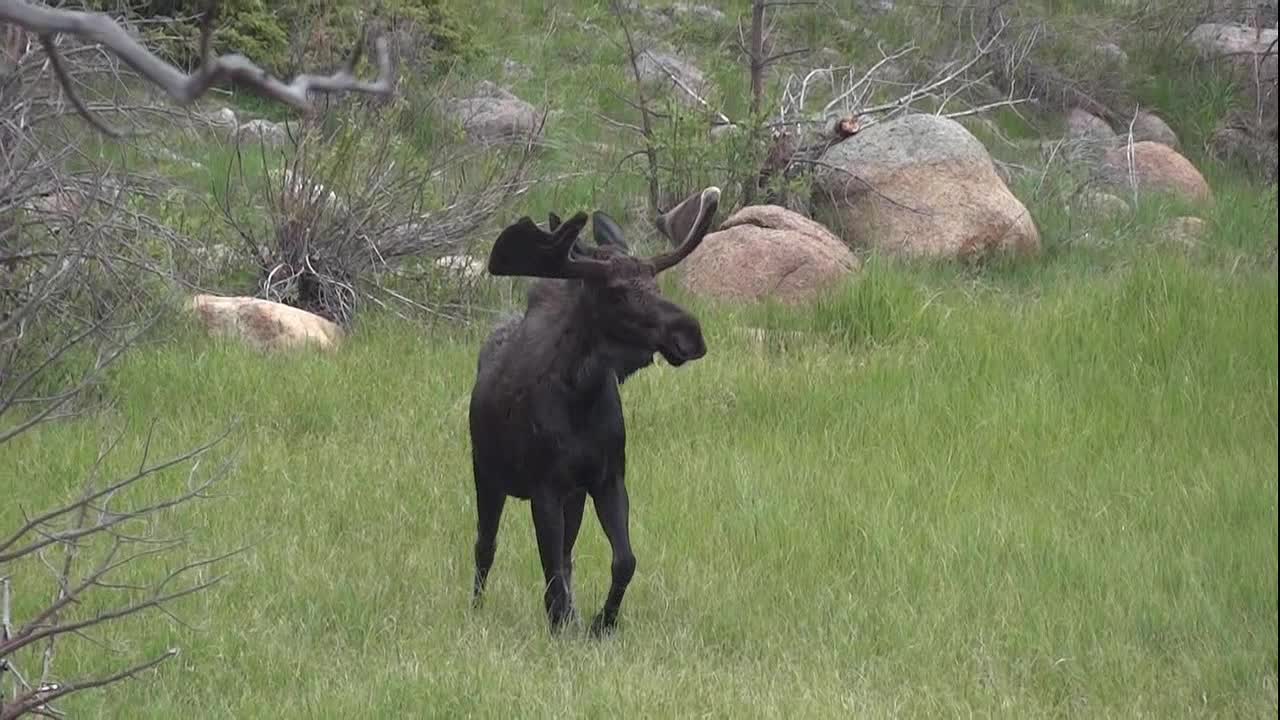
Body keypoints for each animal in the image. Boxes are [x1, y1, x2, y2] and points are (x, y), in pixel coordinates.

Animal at [465, 185, 721, 632]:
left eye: (655, 281)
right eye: (615, 292)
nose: (689, 333)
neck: (582, 400)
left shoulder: (606, 478)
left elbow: (623, 560)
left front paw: (602, 622)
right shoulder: (545, 486)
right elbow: (550, 568)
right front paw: (563, 625)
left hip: (573, 496)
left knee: (563, 557)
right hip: (487, 473)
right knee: (485, 546)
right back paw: (477, 608)